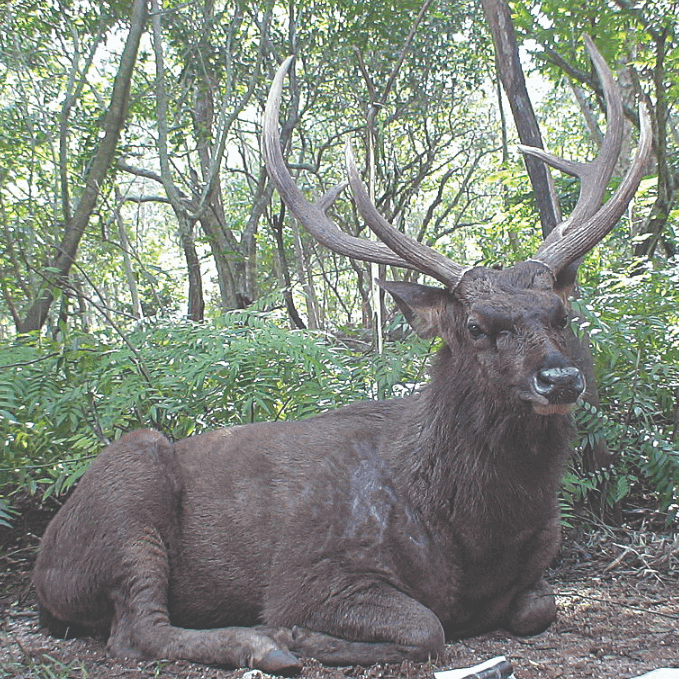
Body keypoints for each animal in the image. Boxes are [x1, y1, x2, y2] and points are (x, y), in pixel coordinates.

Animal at [31, 38, 652, 676]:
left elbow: (539, 609)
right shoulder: (311, 569)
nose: (561, 378)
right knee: (135, 630)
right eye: (476, 326)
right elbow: (427, 626)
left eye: (560, 314)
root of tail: (42, 569)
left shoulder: (536, 572)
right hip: (127, 492)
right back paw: (263, 644)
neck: (476, 536)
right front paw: (299, 634)